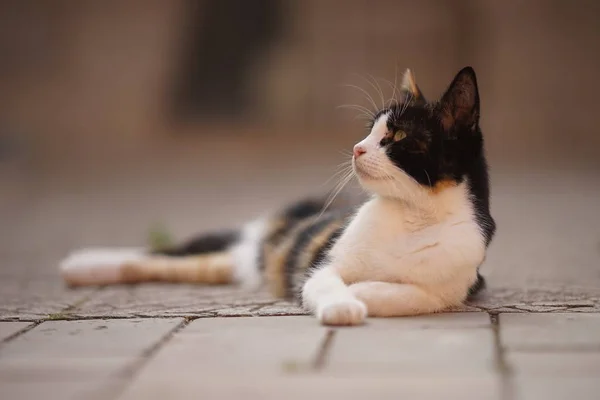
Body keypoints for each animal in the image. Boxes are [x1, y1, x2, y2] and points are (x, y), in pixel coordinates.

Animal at [58, 67, 494, 326]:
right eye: (369, 131)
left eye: (398, 135)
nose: (357, 148)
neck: (412, 215)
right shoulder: (323, 262)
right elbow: (323, 280)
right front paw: (342, 304)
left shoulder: (461, 283)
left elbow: (415, 295)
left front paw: (363, 291)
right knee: (158, 253)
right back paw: (82, 264)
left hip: (239, 261)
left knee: (187, 265)